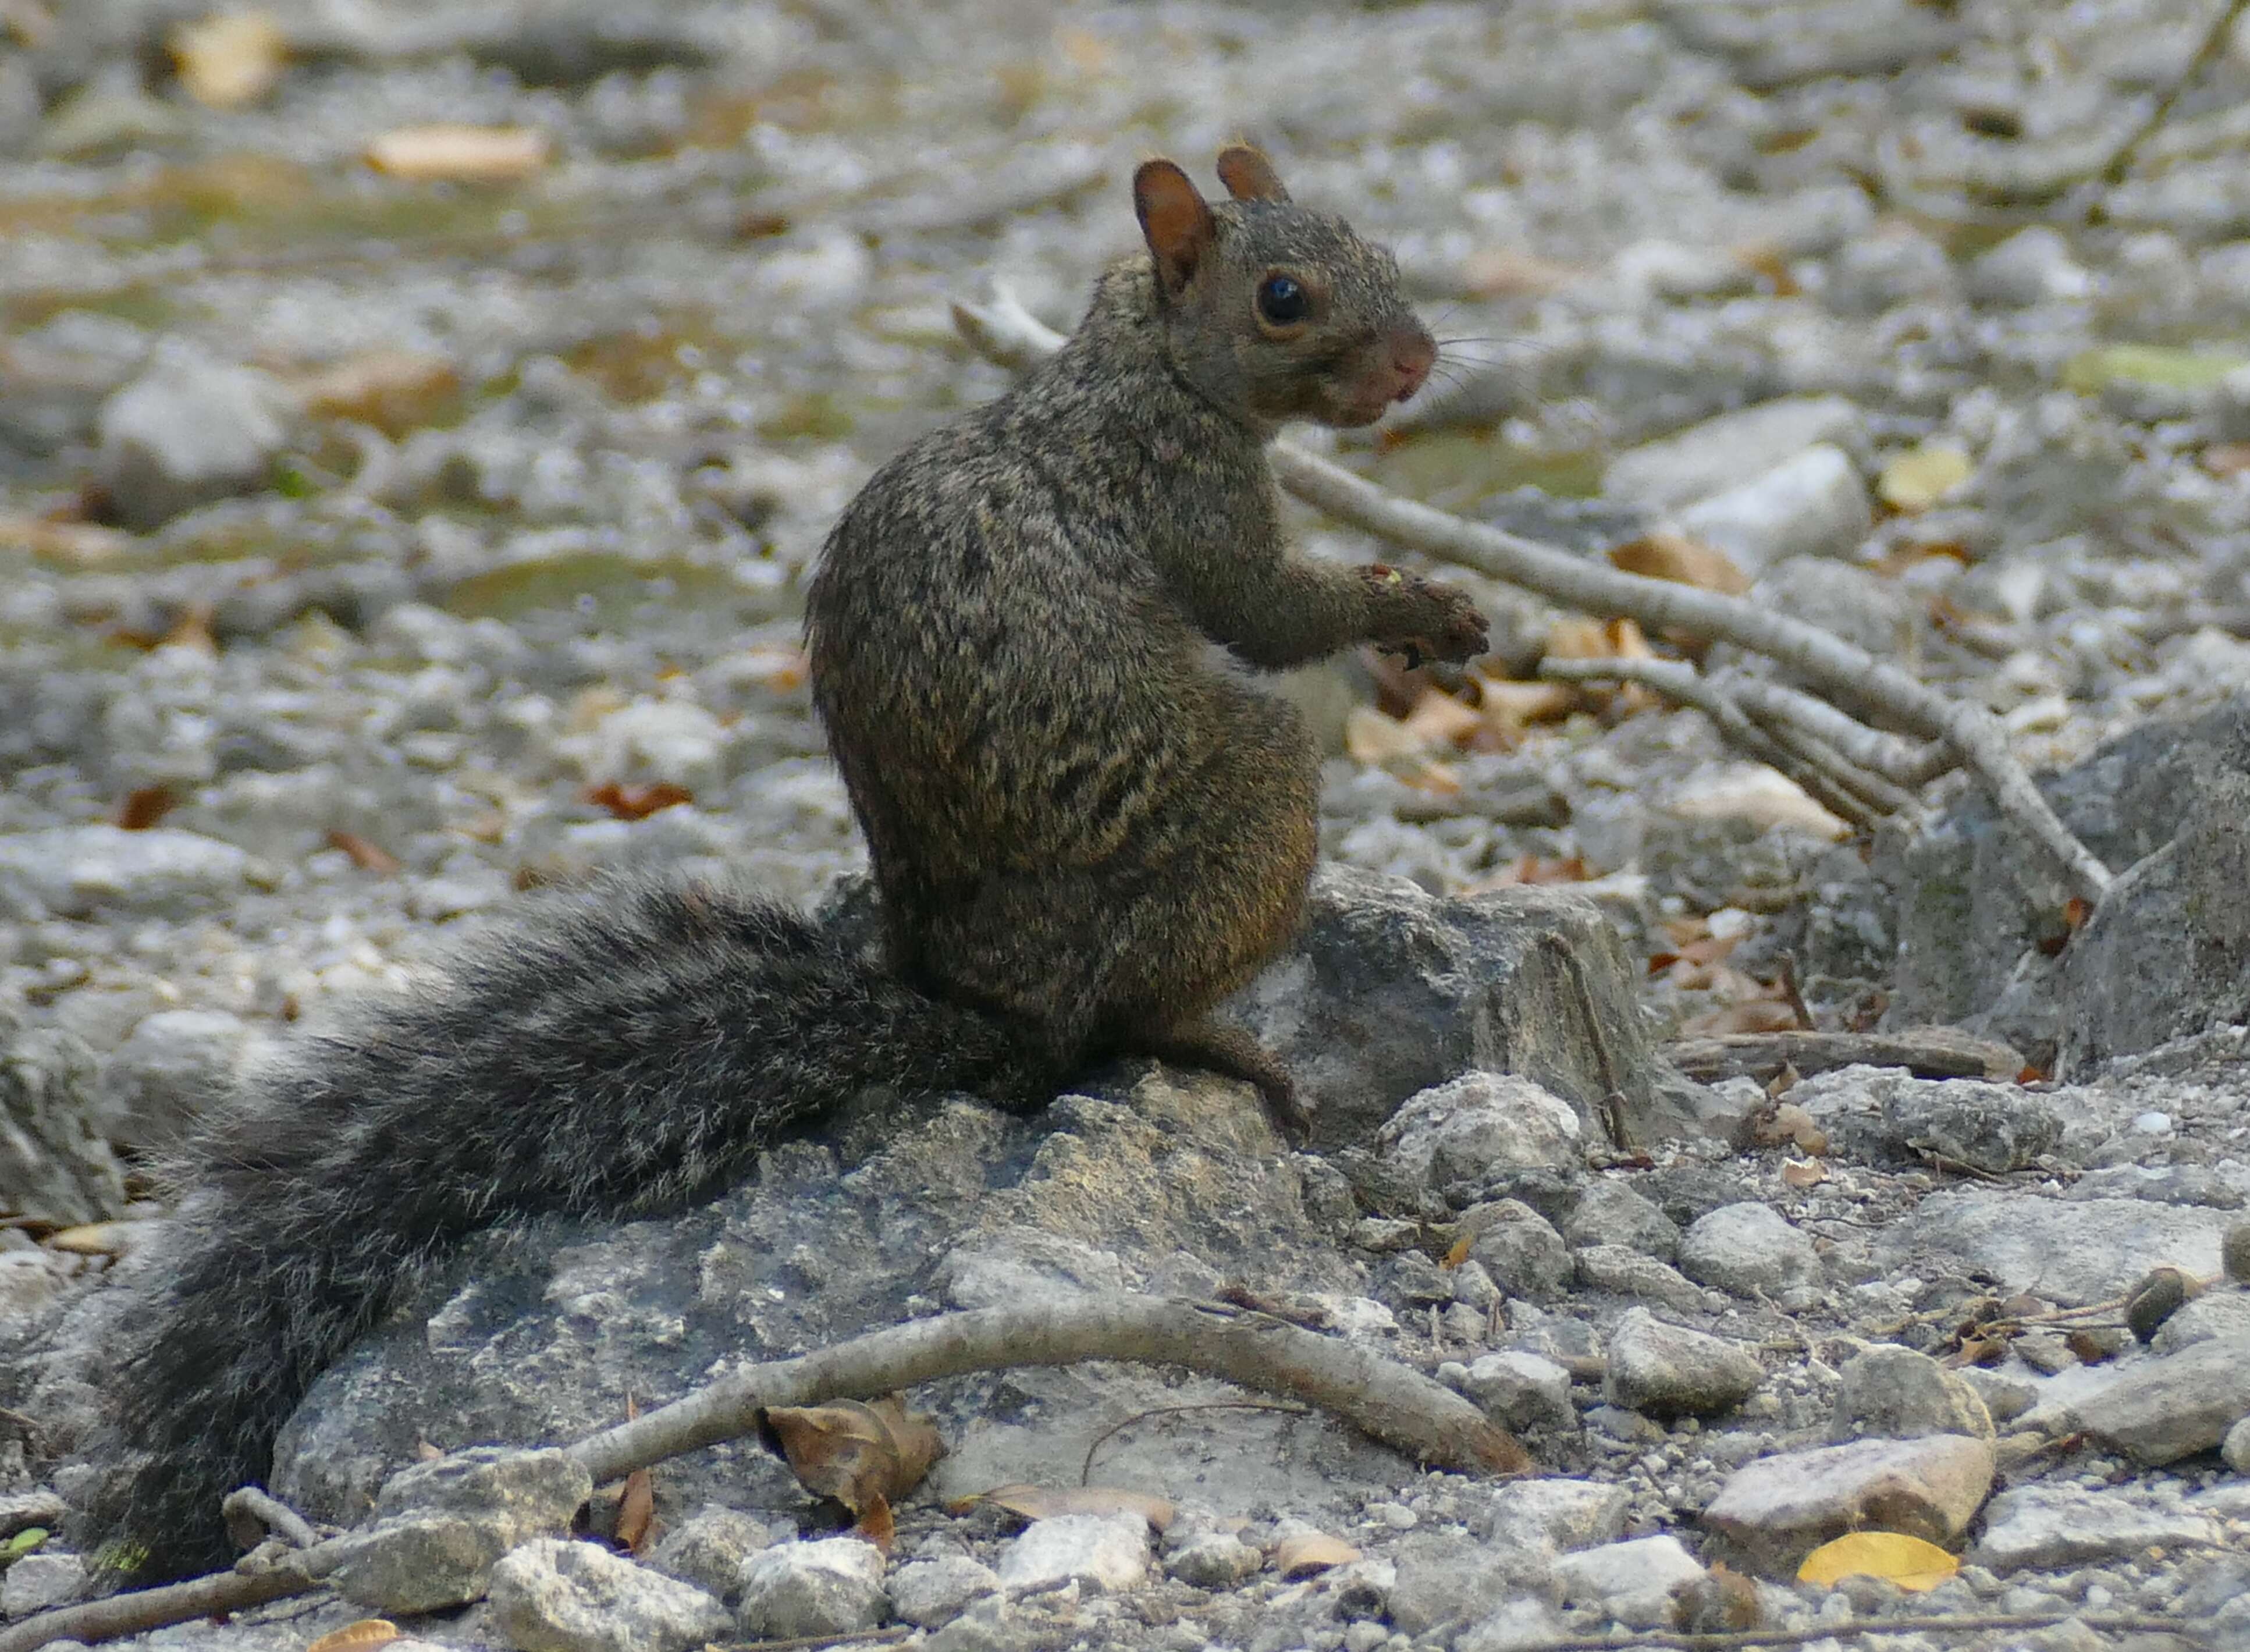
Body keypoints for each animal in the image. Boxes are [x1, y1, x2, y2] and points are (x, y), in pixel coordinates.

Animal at [87, 148, 1485, 1584]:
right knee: (1118, 1024)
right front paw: (1416, 605)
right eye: (1283, 296)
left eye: (1377, 248)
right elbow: (1264, 609)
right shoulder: (1181, 484)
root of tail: (990, 1015)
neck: (1134, 358)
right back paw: (1218, 1042)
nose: (1417, 362)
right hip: (1246, 801)